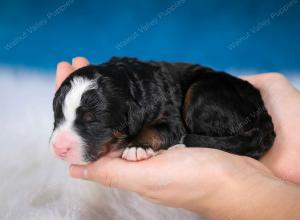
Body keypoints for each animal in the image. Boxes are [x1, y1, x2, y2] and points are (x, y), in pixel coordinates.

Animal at [48, 56, 274, 163]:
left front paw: (136, 148)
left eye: (92, 120)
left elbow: (154, 130)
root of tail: (262, 111)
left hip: (201, 93)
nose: (58, 148)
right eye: (57, 115)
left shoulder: (171, 118)